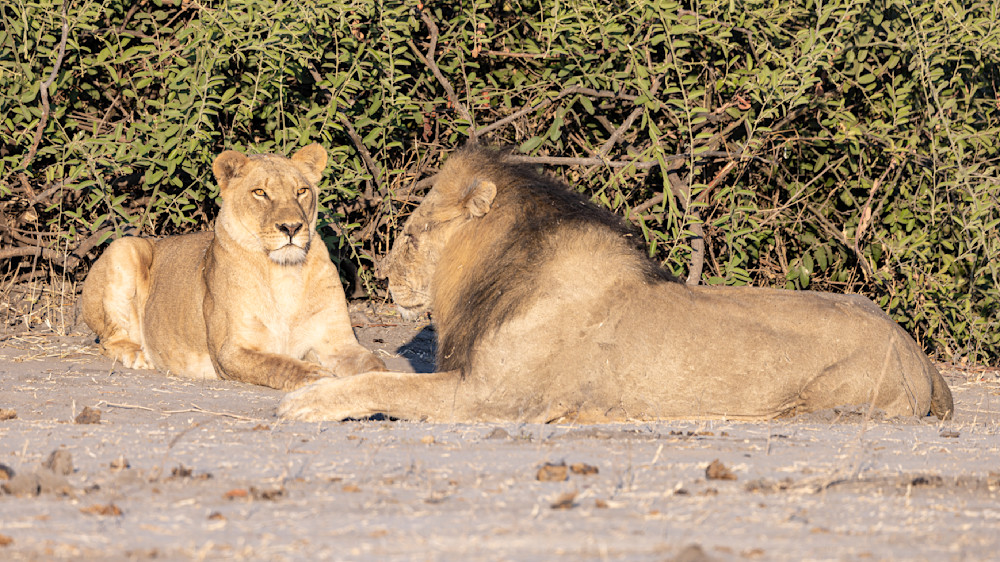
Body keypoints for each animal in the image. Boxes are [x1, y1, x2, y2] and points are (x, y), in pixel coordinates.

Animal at [80, 144, 385, 390]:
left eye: (301, 191)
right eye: (260, 192)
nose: (291, 227)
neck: (285, 272)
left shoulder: (339, 343)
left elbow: (375, 365)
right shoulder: (231, 351)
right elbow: (280, 365)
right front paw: (317, 376)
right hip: (125, 246)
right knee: (109, 339)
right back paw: (139, 355)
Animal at [278, 145, 954, 422]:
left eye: (414, 236)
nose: (384, 277)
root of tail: (918, 351)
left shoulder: (495, 399)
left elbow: (383, 387)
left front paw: (307, 402)